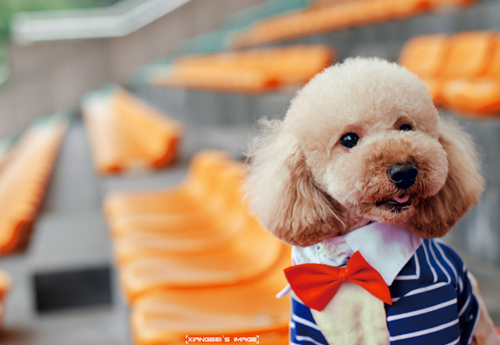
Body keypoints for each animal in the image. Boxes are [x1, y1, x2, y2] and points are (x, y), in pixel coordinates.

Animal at [246, 58, 500, 344]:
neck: (346, 258)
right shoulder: (306, 324)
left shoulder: (428, 300)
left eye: (406, 127)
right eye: (348, 139)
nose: (404, 172)